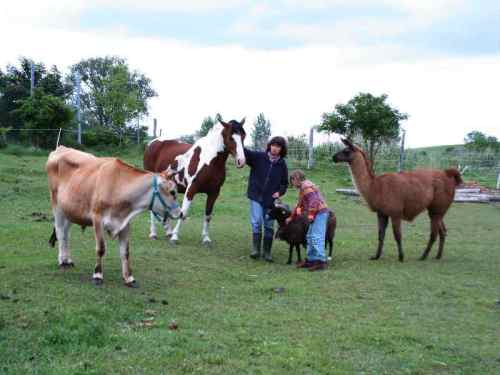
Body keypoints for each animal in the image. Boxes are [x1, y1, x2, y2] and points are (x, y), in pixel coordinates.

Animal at [45, 147, 180, 288]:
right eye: (172, 192)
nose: (180, 213)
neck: (117, 187)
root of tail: (61, 148)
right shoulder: (97, 219)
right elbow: (101, 248)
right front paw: (97, 275)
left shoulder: (125, 223)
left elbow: (125, 252)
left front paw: (129, 278)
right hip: (57, 205)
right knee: (60, 232)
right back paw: (62, 261)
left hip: (69, 210)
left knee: (66, 234)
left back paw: (68, 259)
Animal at [144, 118, 247, 247]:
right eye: (230, 138)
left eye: (243, 136)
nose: (241, 161)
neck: (210, 160)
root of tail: (152, 143)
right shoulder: (191, 189)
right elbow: (183, 213)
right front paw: (175, 237)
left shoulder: (214, 193)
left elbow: (208, 215)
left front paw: (206, 239)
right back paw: (154, 233)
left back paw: (167, 231)